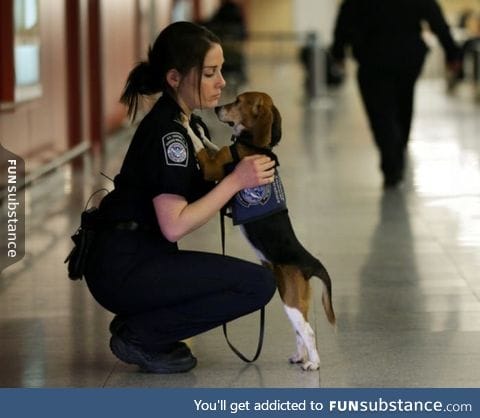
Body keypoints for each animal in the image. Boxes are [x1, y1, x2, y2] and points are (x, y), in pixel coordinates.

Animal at [182, 92, 336, 372]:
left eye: (238, 101)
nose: (217, 108)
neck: (256, 147)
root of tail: (310, 261)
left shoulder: (212, 167)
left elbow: (200, 146)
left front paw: (187, 124)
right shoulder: (218, 156)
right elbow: (210, 144)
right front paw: (198, 127)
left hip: (291, 300)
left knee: (307, 331)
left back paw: (313, 363)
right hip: (290, 297)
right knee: (300, 330)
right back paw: (300, 356)